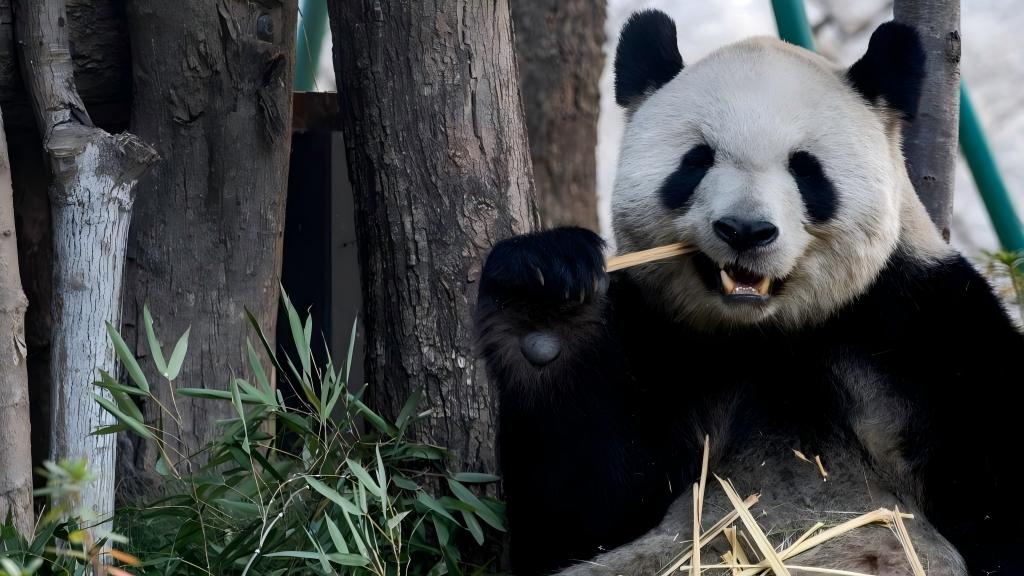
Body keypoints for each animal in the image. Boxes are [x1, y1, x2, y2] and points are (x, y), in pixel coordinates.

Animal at [476, 9, 1024, 576]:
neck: (769, 334)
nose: (744, 230)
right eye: (696, 160)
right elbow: (584, 510)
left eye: (806, 168)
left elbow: (997, 489)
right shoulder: (658, 337)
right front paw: (544, 298)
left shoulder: (925, 329)